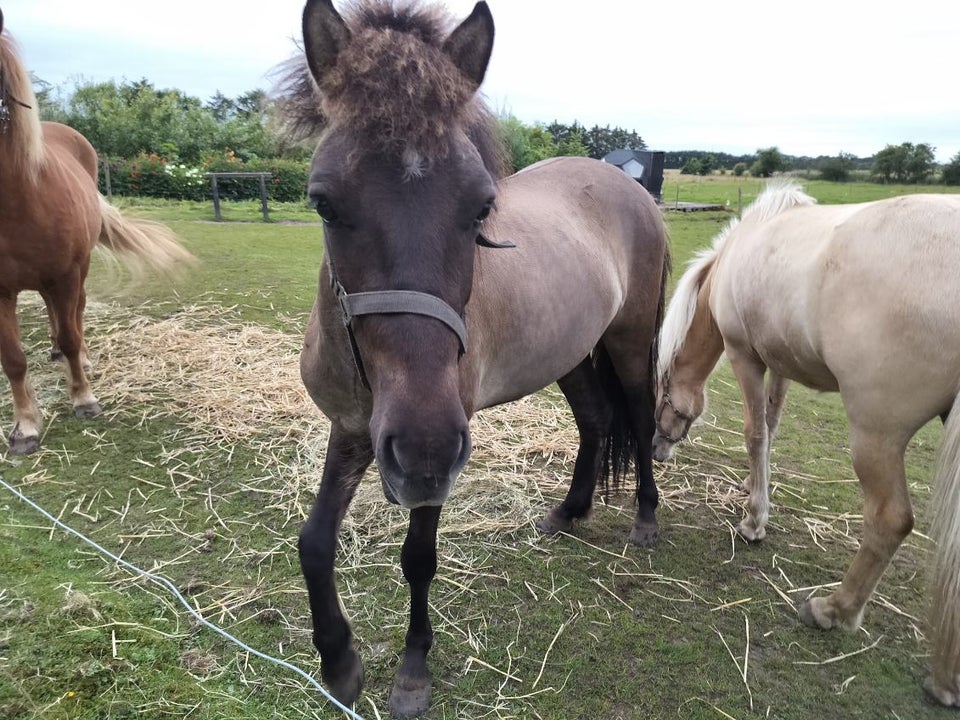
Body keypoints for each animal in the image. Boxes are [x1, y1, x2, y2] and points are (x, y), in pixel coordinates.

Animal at [0, 12, 193, 456]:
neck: (18, 199)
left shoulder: (66, 274)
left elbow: (73, 333)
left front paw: (83, 399)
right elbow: (13, 358)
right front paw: (25, 427)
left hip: (77, 270)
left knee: (75, 315)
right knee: (55, 315)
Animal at [288, 0, 672, 716]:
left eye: (481, 207)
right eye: (323, 202)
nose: (424, 447)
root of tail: (628, 185)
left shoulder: (434, 449)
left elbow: (418, 556)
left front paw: (413, 669)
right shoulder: (355, 430)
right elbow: (315, 542)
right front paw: (339, 661)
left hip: (630, 342)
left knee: (637, 418)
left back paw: (644, 520)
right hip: (570, 354)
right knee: (596, 421)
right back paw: (569, 513)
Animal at [656, 183, 960, 704]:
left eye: (658, 390)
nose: (657, 450)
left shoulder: (745, 358)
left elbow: (756, 432)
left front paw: (754, 521)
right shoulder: (779, 362)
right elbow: (773, 425)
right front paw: (752, 490)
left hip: (876, 434)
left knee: (889, 520)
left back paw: (834, 610)